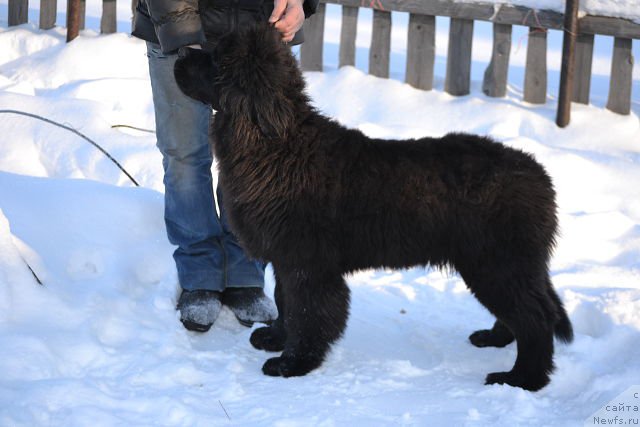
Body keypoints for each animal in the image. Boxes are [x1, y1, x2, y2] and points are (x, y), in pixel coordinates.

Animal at [172, 22, 572, 392]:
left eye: (214, 58)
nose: (178, 53)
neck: (276, 147)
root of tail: (540, 176)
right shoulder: (287, 260)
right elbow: (285, 302)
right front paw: (275, 339)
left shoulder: (308, 265)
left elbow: (307, 313)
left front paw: (293, 363)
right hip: (503, 266)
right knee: (526, 312)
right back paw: (495, 339)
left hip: (496, 263)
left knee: (536, 318)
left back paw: (522, 378)